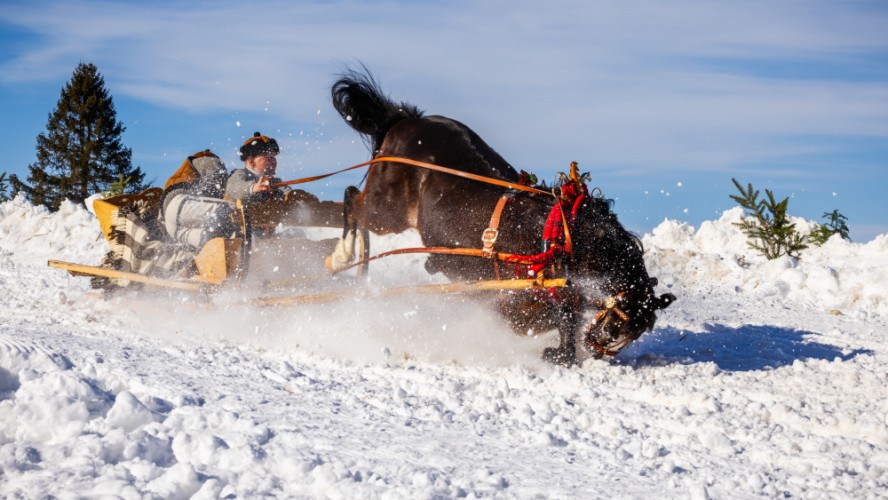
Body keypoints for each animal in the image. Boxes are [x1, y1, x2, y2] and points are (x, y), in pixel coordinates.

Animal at [326, 68, 672, 366]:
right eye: (617, 325)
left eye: (630, 333)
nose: (597, 347)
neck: (566, 239)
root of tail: (406, 120)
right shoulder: (521, 290)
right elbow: (550, 317)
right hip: (387, 210)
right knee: (352, 199)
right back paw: (343, 256)